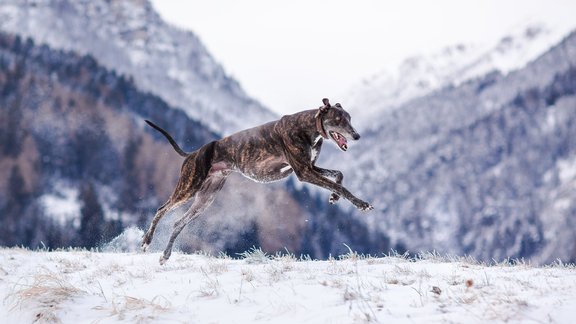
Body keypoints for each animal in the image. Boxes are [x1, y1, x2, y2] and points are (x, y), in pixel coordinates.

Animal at [141, 98, 372, 264]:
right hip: (189, 186)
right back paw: (146, 241)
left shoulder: (310, 167)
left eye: (349, 118)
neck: (307, 126)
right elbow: (339, 185)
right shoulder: (304, 172)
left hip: (205, 198)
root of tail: (193, 153)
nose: (357, 136)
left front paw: (334, 197)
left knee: (178, 222)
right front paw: (361, 204)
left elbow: (338, 175)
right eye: (338, 119)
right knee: (162, 209)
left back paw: (165, 255)